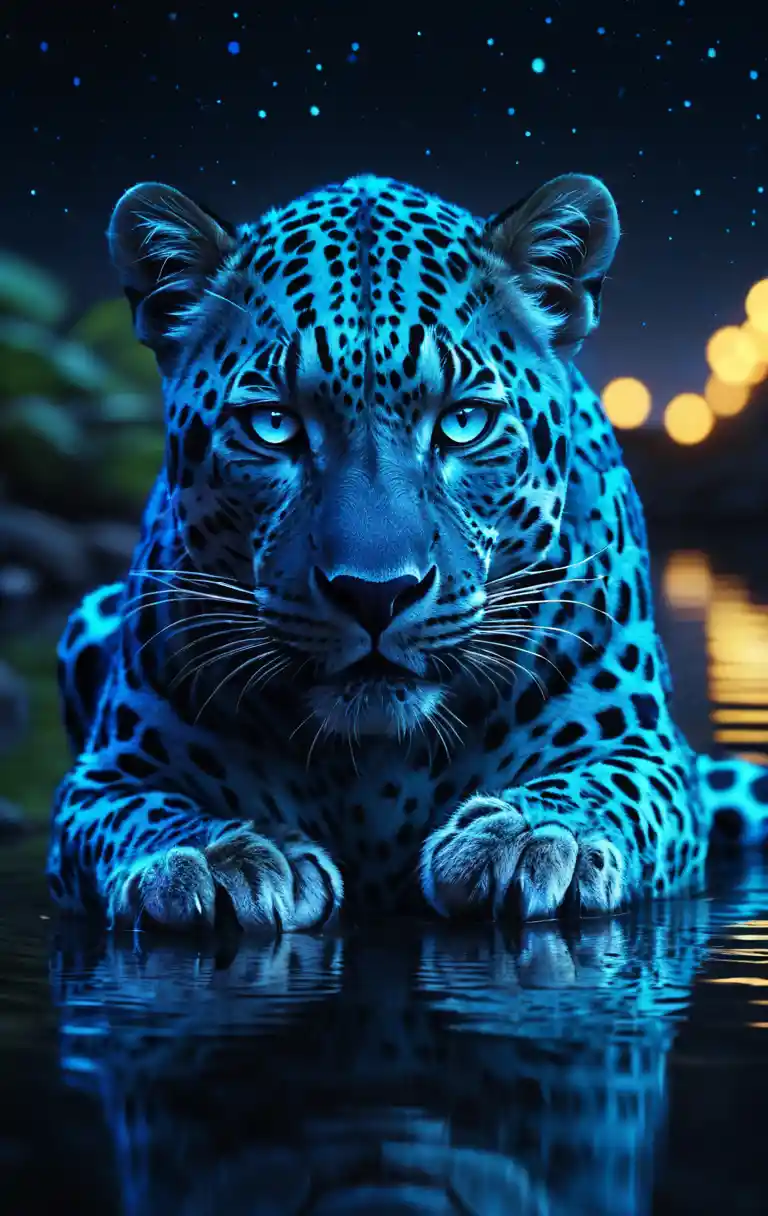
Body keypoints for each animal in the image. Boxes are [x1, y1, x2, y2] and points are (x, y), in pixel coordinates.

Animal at [47, 169, 768, 933]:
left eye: (464, 422)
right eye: (274, 425)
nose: (375, 594)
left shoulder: (647, 748)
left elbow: (609, 784)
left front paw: (538, 834)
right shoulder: (107, 774)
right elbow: (142, 812)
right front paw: (217, 853)